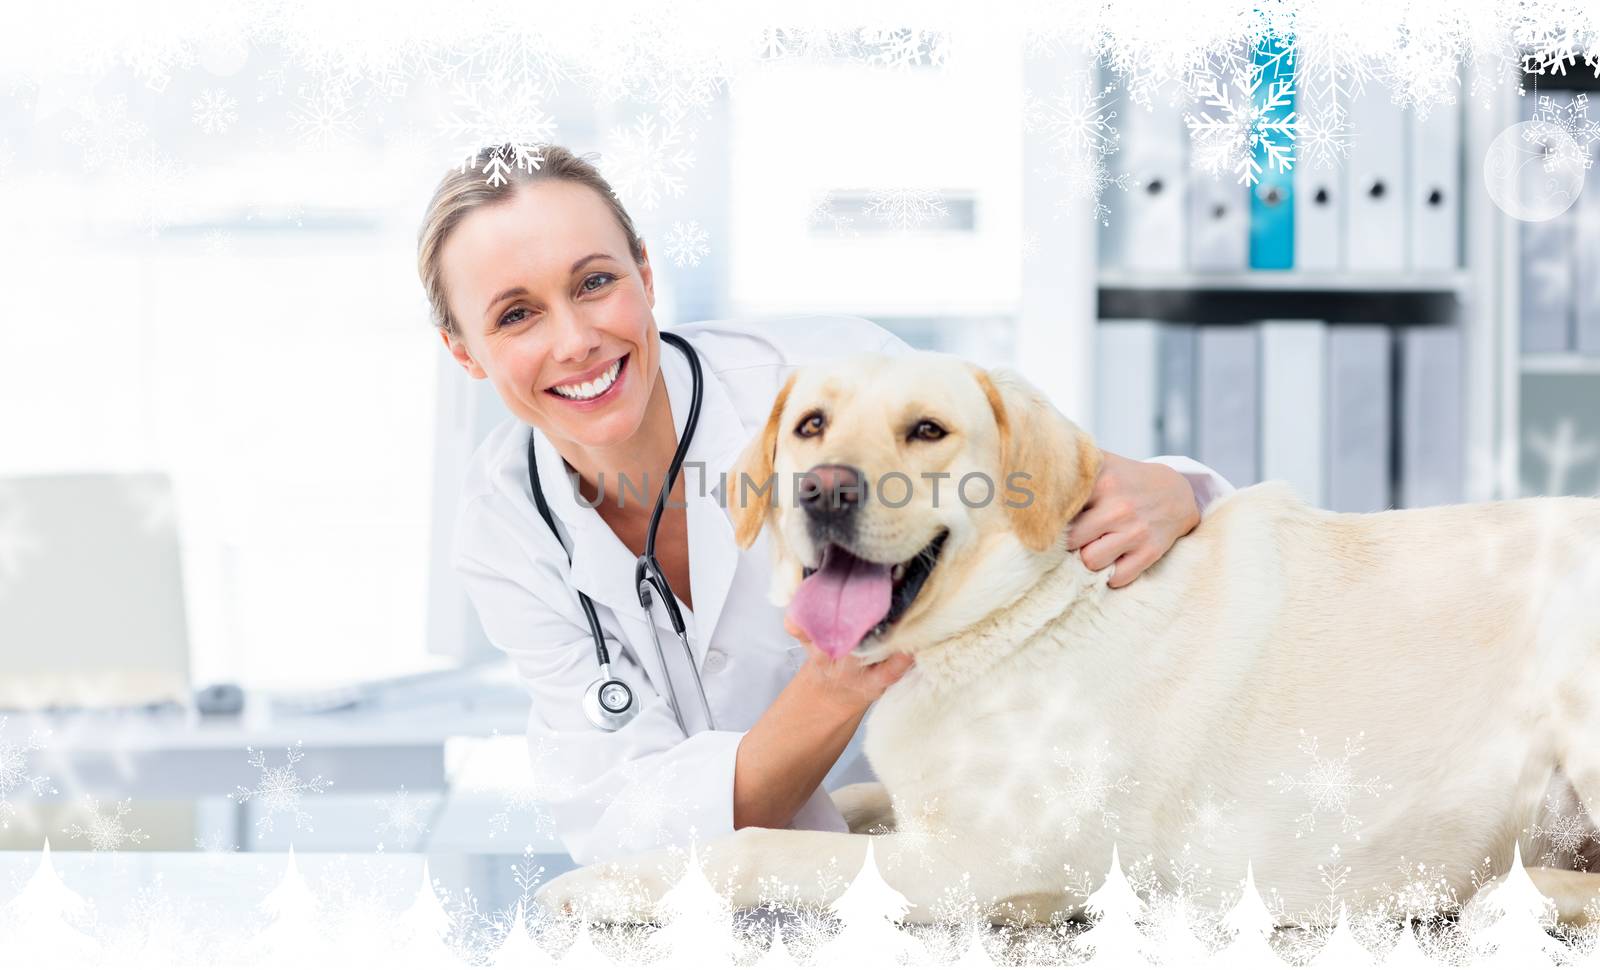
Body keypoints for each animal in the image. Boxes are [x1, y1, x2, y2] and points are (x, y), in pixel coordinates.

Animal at [540, 353, 1600, 928]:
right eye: (809, 425)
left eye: (928, 431)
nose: (822, 489)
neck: (1014, 615)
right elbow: (845, 794)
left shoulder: (980, 864)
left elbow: (751, 846)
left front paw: (604, 881)